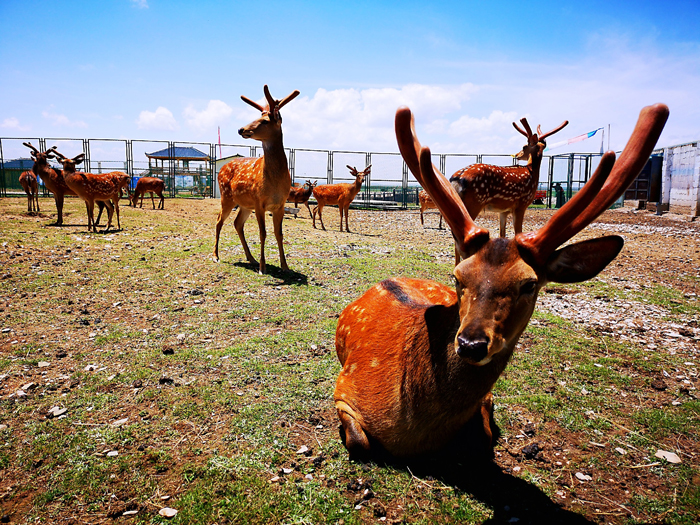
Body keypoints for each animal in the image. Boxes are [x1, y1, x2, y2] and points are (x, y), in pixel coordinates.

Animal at [213, 85, 300, 274]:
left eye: (265, 120)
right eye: (258, 116)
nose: (241, 129)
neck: (274, 182)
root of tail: (221, 168)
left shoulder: (280, 205)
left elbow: (279, 233)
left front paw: (285, 266)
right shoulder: (259, 202)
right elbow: (263, 233)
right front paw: (263, 267)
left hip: (245, 204)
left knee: (237, 223)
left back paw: (250, 258)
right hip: (226, 197)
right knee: (219, 220)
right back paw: (215, 256)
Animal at [449, 118, 568, 247]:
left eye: (524, 146)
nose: (517, 155)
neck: (532, 172)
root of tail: (457, 178)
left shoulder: (504, 210)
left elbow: (502, 233)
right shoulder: (521, 204)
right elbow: (518, 233)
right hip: (475, 202)